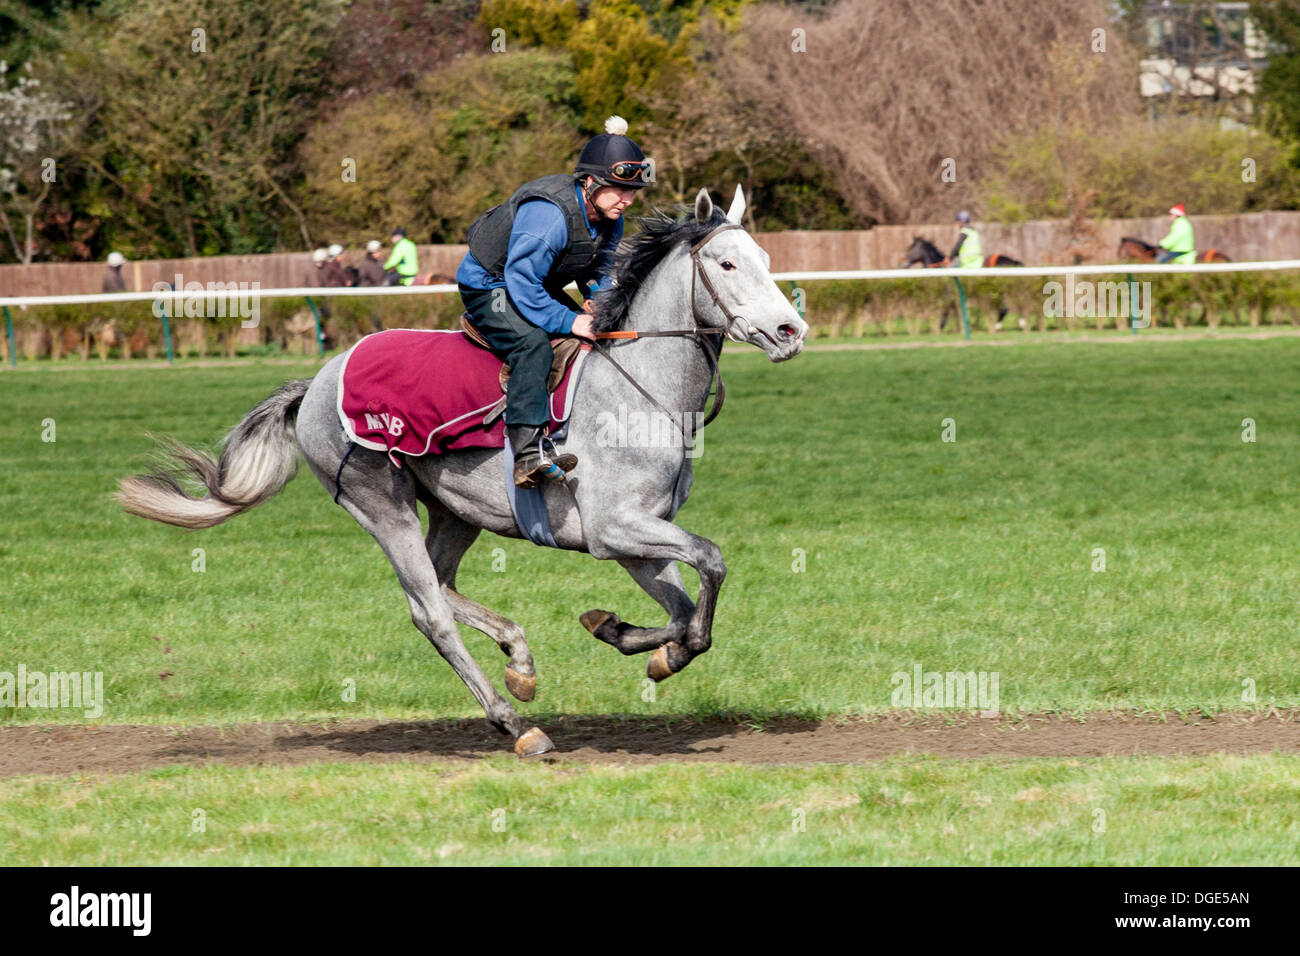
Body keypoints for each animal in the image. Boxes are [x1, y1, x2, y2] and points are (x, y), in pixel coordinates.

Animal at [115, 187, 808, 758]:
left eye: (766, 258)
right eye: (727, 265)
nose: (790, 330)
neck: (640, 391)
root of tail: (315, 380)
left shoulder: (635, 539)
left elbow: (685, 609)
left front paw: (626, 635)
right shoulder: (616, 529)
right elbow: (712, 565)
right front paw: (653, 646)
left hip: (454, 512)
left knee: (440, 584)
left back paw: (519, 659)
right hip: (381, 504)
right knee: (429, 612)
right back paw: (515, 723)